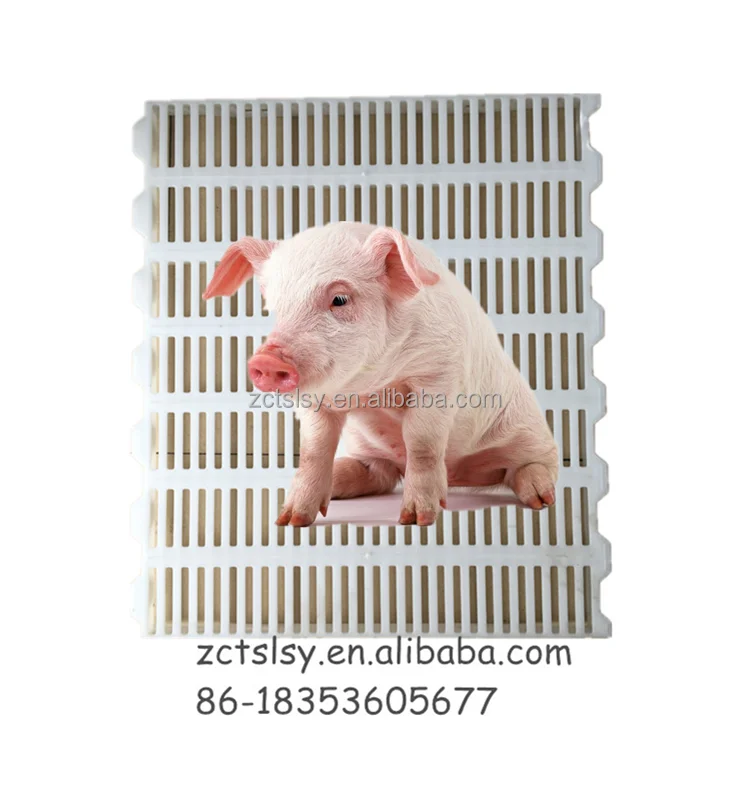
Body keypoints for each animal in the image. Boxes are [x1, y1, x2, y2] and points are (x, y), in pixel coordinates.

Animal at [203, 223, 558, 527]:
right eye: (273, 304)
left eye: (339, 299)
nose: (266, 359)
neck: (373, 384)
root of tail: (461, 476)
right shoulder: (316, 398)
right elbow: (314, 450)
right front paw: (290, 520)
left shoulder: (438, 371)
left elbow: (422, 442)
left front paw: (416, 520)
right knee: (379, 474)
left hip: (529, 432)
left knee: (532, 466)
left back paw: (542, 499)